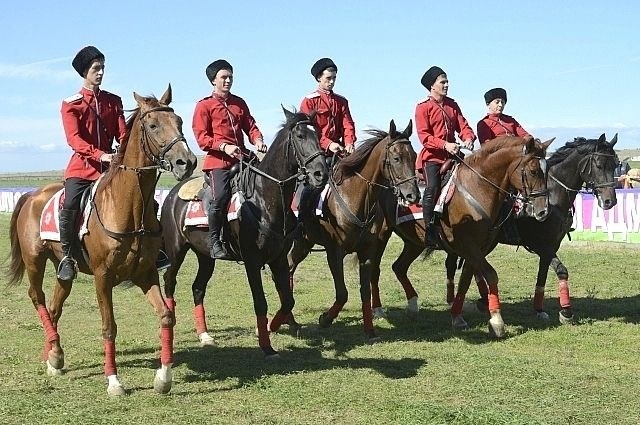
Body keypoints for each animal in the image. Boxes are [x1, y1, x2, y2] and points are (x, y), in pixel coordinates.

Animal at [6, 84, 198, 396]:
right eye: (153, 125)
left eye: (180, 122)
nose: (188, 162)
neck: (128, 208)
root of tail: (32, 195)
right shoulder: (102, 278)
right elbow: (109, 327)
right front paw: (114, 382)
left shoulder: (146, 274)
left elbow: (166, 316)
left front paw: (163, 377)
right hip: (34, 261)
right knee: (38, 298)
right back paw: (53, 353)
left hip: (64, 268)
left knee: (55, 305)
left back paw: (54, 356)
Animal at [160, 106, 330, 358]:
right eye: (300, 136)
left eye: (318, 136)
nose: (321, 174)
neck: (263, 200)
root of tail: (172, 194)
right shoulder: (252, 261)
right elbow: (260, 302)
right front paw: (266, 345)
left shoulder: (279, 259)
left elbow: (288, 300)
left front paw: (272, 326)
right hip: (176, 251)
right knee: (169, 281)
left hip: (205, 257)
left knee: (198, 288)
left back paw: (205, 336)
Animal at [288, 119, 422, 342]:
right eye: (396, 158)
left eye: (414, 156)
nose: (413, 195)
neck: (354, 197)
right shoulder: (334, 252)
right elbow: (342, 293)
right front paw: (325, 319)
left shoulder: (367, 252)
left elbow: (364, 290)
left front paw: (369, 330)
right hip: (300, 242)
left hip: (305, 243)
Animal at [372, 137, 552, 336]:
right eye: (533, 171)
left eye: (546, 171)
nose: (543, 211)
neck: (478, 188)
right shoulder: (467, 244)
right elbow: (491, 275)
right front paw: (497, 321)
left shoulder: (478, 248)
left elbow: (465, 279)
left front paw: (457, 316)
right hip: (380, 237)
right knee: (374, 270)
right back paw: (377, 310)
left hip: (414, 242)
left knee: (399, 267)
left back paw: (412, 306)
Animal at [440, 134, 620, 322]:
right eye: (599, 165)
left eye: (616, 164)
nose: (610, 201)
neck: (554, 195)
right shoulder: (542, 246)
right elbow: (561, 271)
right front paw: (566, 311)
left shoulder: (552, 245)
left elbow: (543, 275)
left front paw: (540, 309)